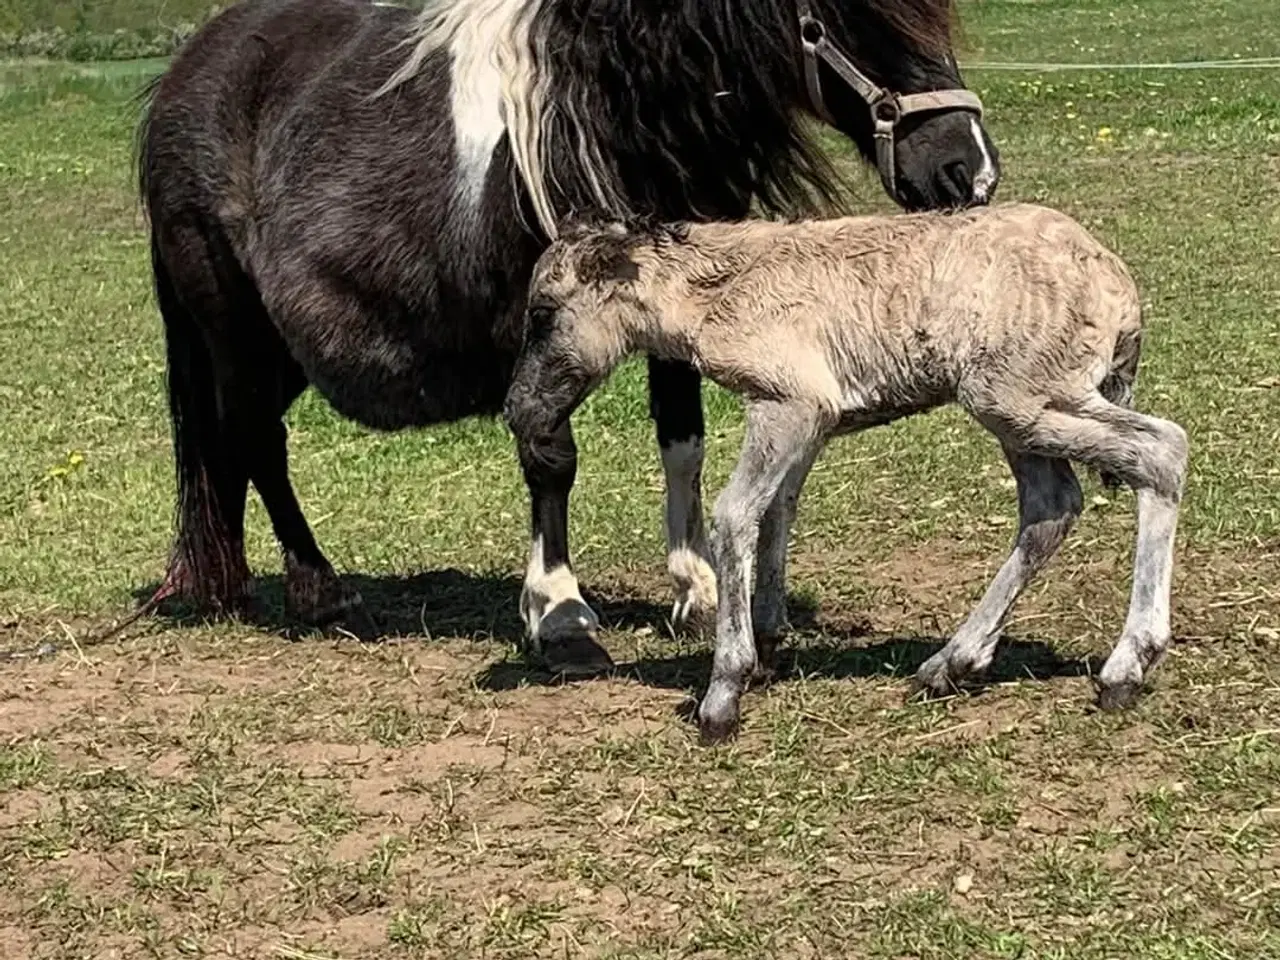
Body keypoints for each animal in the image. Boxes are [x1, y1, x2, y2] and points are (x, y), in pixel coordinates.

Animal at [135, 0, 993, 670]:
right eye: (854, 18)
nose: (968, 174)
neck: (601, 120)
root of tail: (182, 76)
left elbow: (682, 441)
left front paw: (695, 590)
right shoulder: (544, 330)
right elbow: (549, 450)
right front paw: (560, 615)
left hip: (278, 349)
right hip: (233, 326)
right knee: (255, 438)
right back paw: (319, 590)